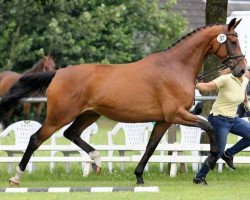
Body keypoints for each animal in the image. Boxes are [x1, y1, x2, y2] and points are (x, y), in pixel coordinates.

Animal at [0, 18, 246, 186]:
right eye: (233, 40)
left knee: (71, 134)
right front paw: (214, 159)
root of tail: (58, 73)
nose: (242, 70)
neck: (175, 67)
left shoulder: (164, 120)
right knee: (36, 139)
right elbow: (208, 125)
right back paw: (16, 177)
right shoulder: (176, 114)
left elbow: (151, 146)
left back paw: (97, 161)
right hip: (59, 115)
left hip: (89, 114)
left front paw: (139, 177)